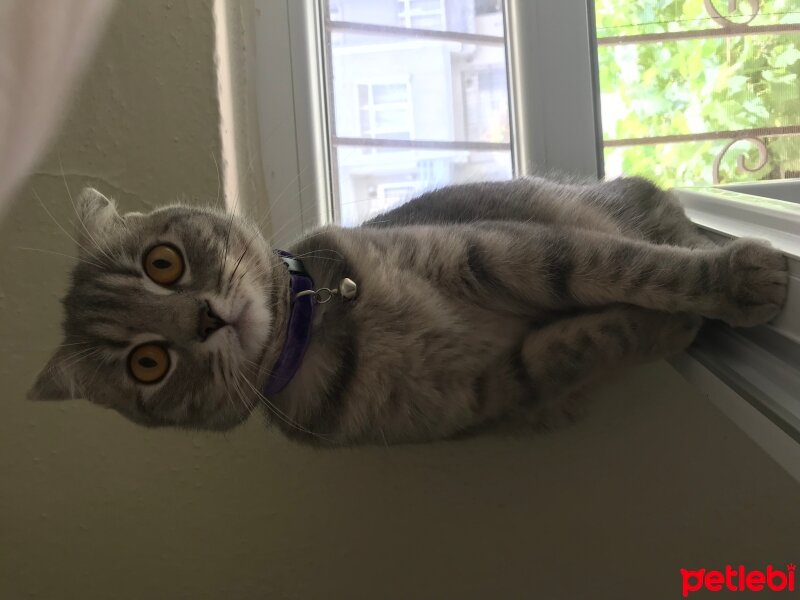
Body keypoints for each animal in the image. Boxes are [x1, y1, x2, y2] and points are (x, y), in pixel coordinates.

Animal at [28, 176, 792, 442]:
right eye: (147, 364)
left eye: (163, 263)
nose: (206, 320)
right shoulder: (496, 386)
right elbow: (582, 340)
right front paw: (664, 327)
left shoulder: (503, 249)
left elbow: (628, 268)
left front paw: (734, 281)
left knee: (660, 227)